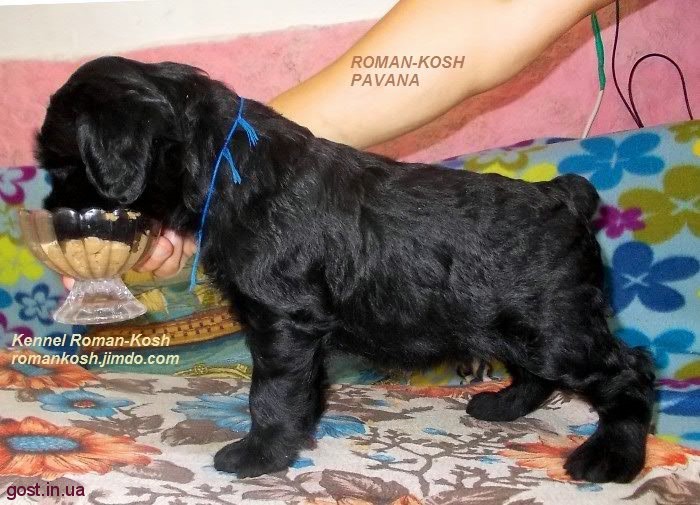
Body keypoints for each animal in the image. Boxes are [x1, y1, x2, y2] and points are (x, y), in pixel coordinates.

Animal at [36, 56, 655, 483]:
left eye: (63, 163)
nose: (51, 213)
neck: (226, 164)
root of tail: (564, 195)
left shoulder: (282, 321)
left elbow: (271, 393)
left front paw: (259, 454)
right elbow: (303, 388)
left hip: (555, 327)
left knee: (629, 373)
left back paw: (612, 457)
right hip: (513, 324)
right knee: (538, 374)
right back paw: (502, 405)